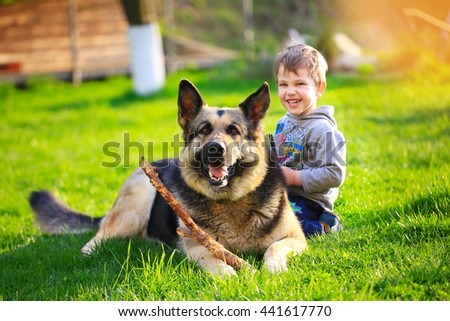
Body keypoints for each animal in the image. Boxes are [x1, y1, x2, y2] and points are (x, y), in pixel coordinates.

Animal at [29, 79, 308, 274]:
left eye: (233, 131)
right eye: (203, 130)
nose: (215, 150)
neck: (229, 200)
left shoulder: (296, 239)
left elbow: (273, 249)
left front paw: (274, 271)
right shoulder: (199, 246)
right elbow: (217, 262)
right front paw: (231, 276)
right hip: (137, 202)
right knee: (96, 239)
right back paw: (94, 253)